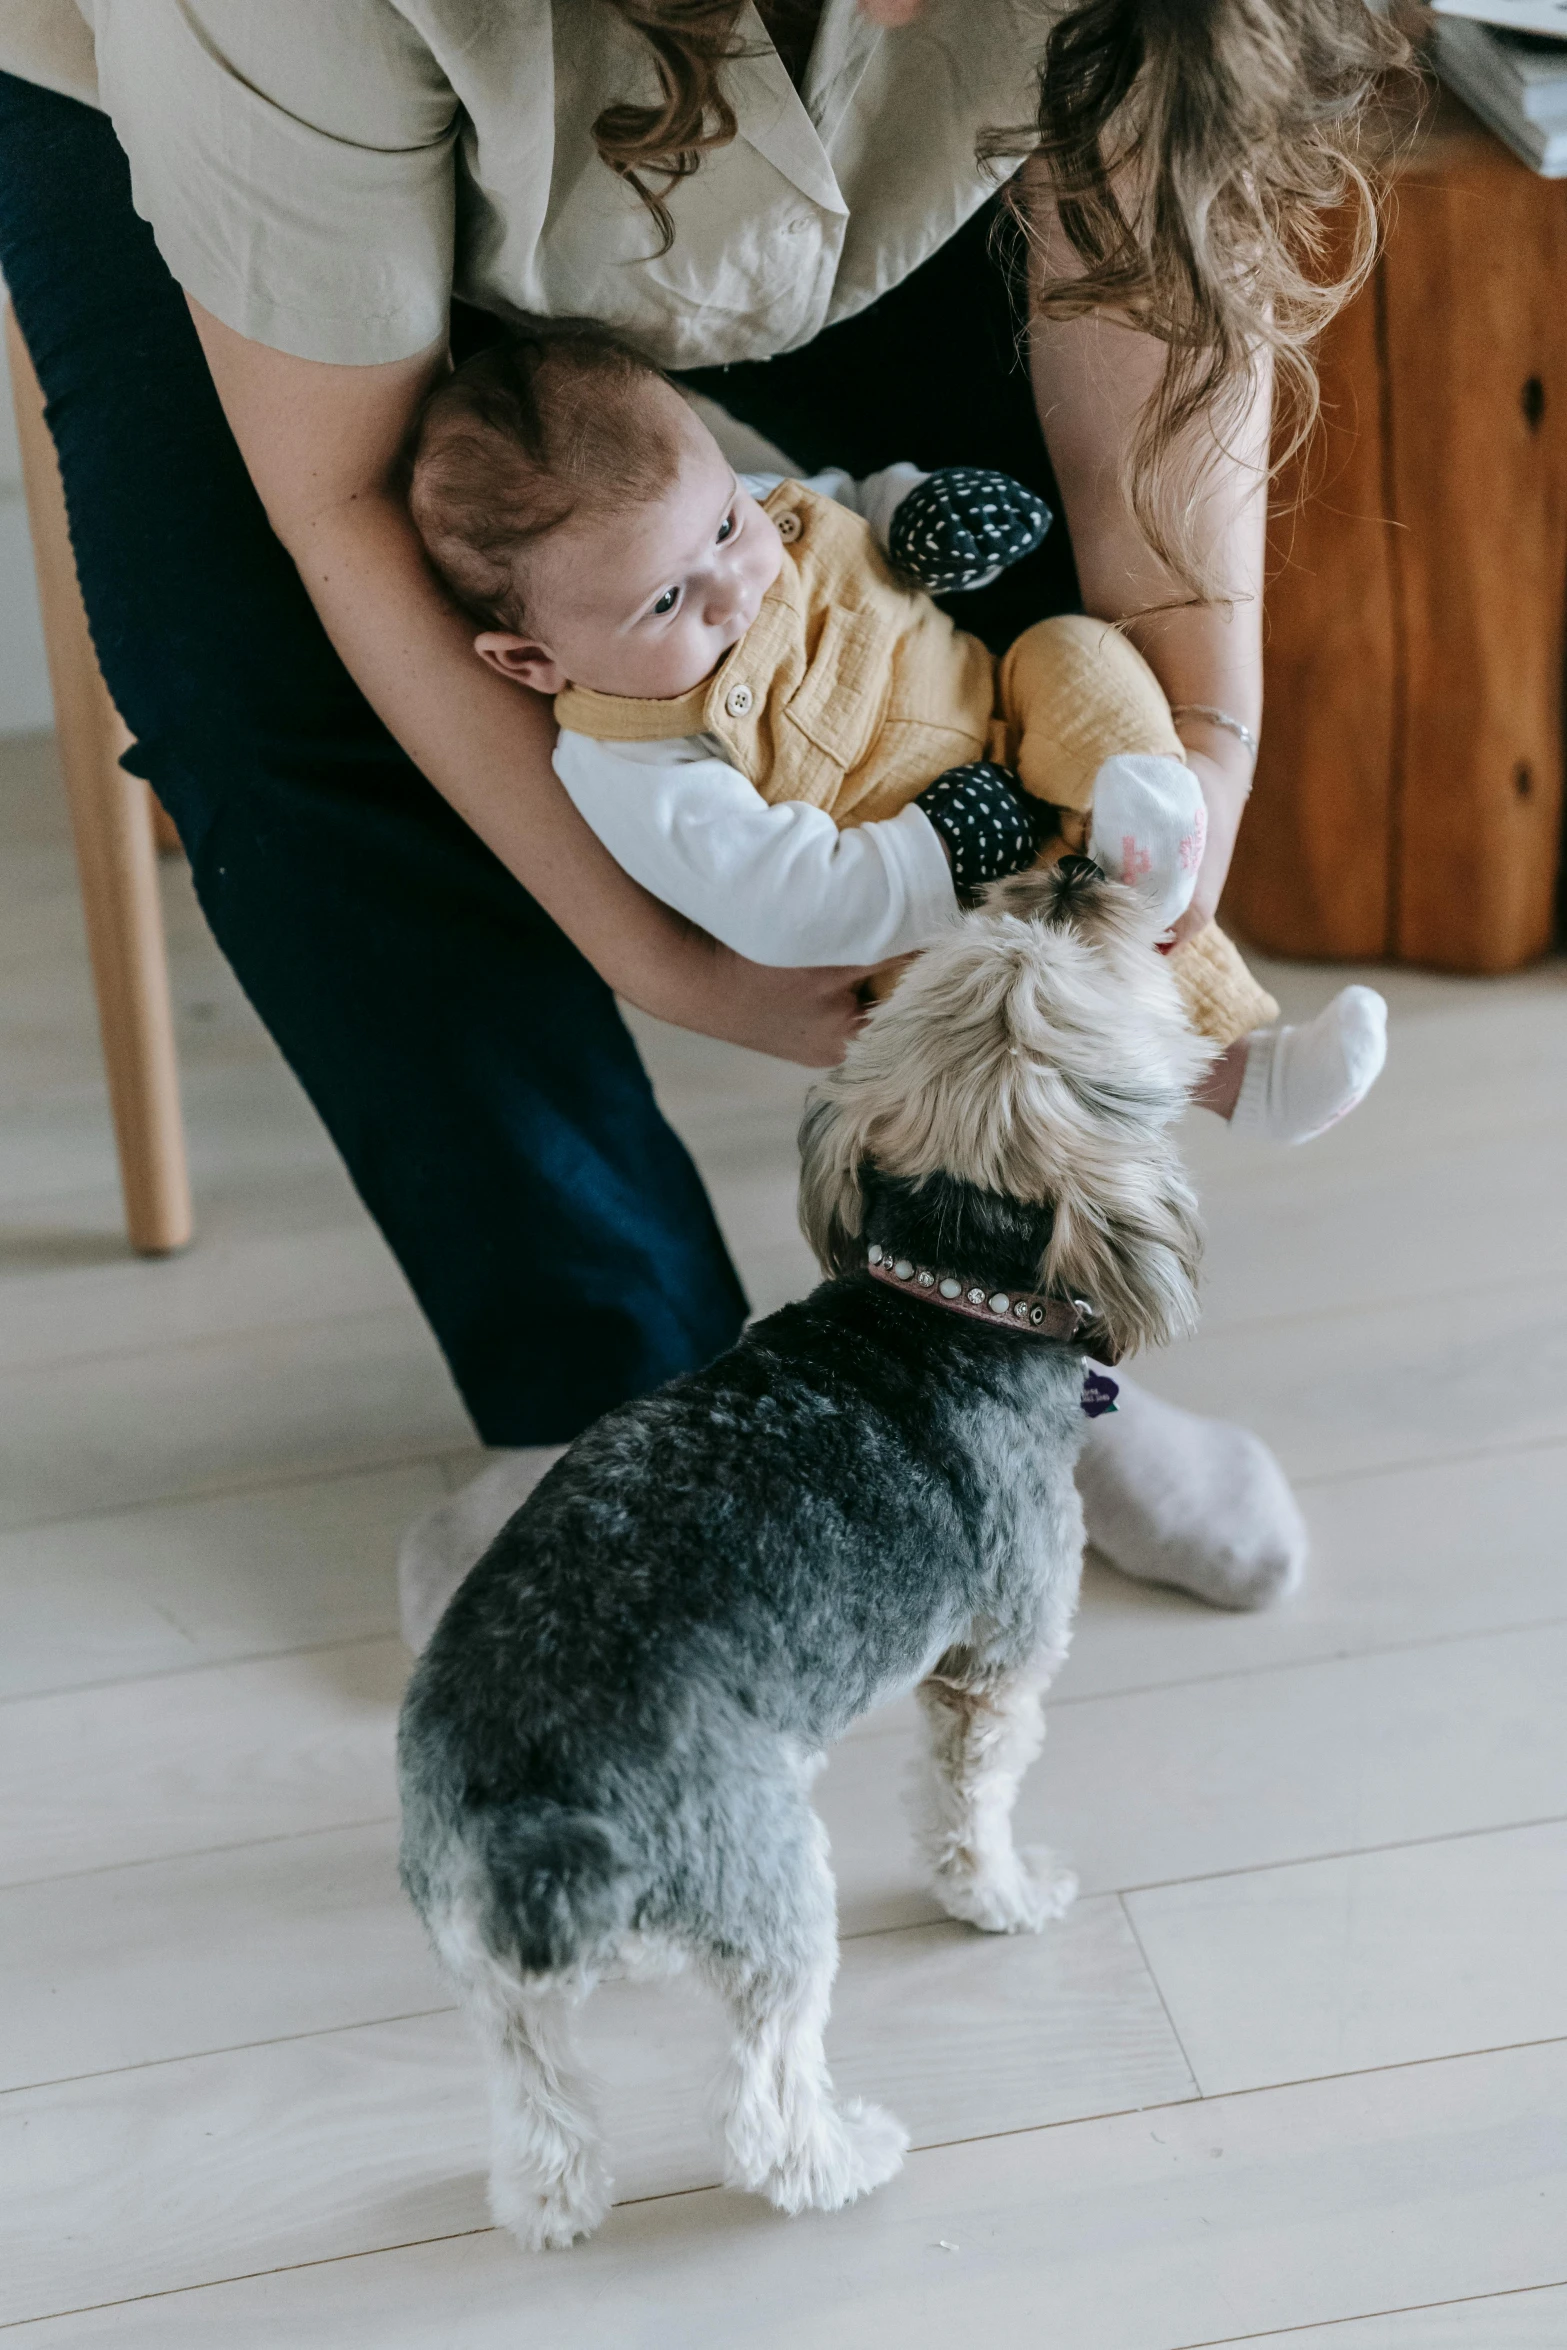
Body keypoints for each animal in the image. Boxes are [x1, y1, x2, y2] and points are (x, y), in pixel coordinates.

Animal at [399, 855, 1212, 2246]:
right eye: (1063, 936)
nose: (1069, 864)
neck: (938, 1287)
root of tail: (536, 1810)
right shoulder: (993, 1661)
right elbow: (972, 1804)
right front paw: (1004, 1896)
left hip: (474, 1951)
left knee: (534, 2084)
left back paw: (550, 2202)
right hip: (765, 1884)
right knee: (764, 2094)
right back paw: (842, 2160)